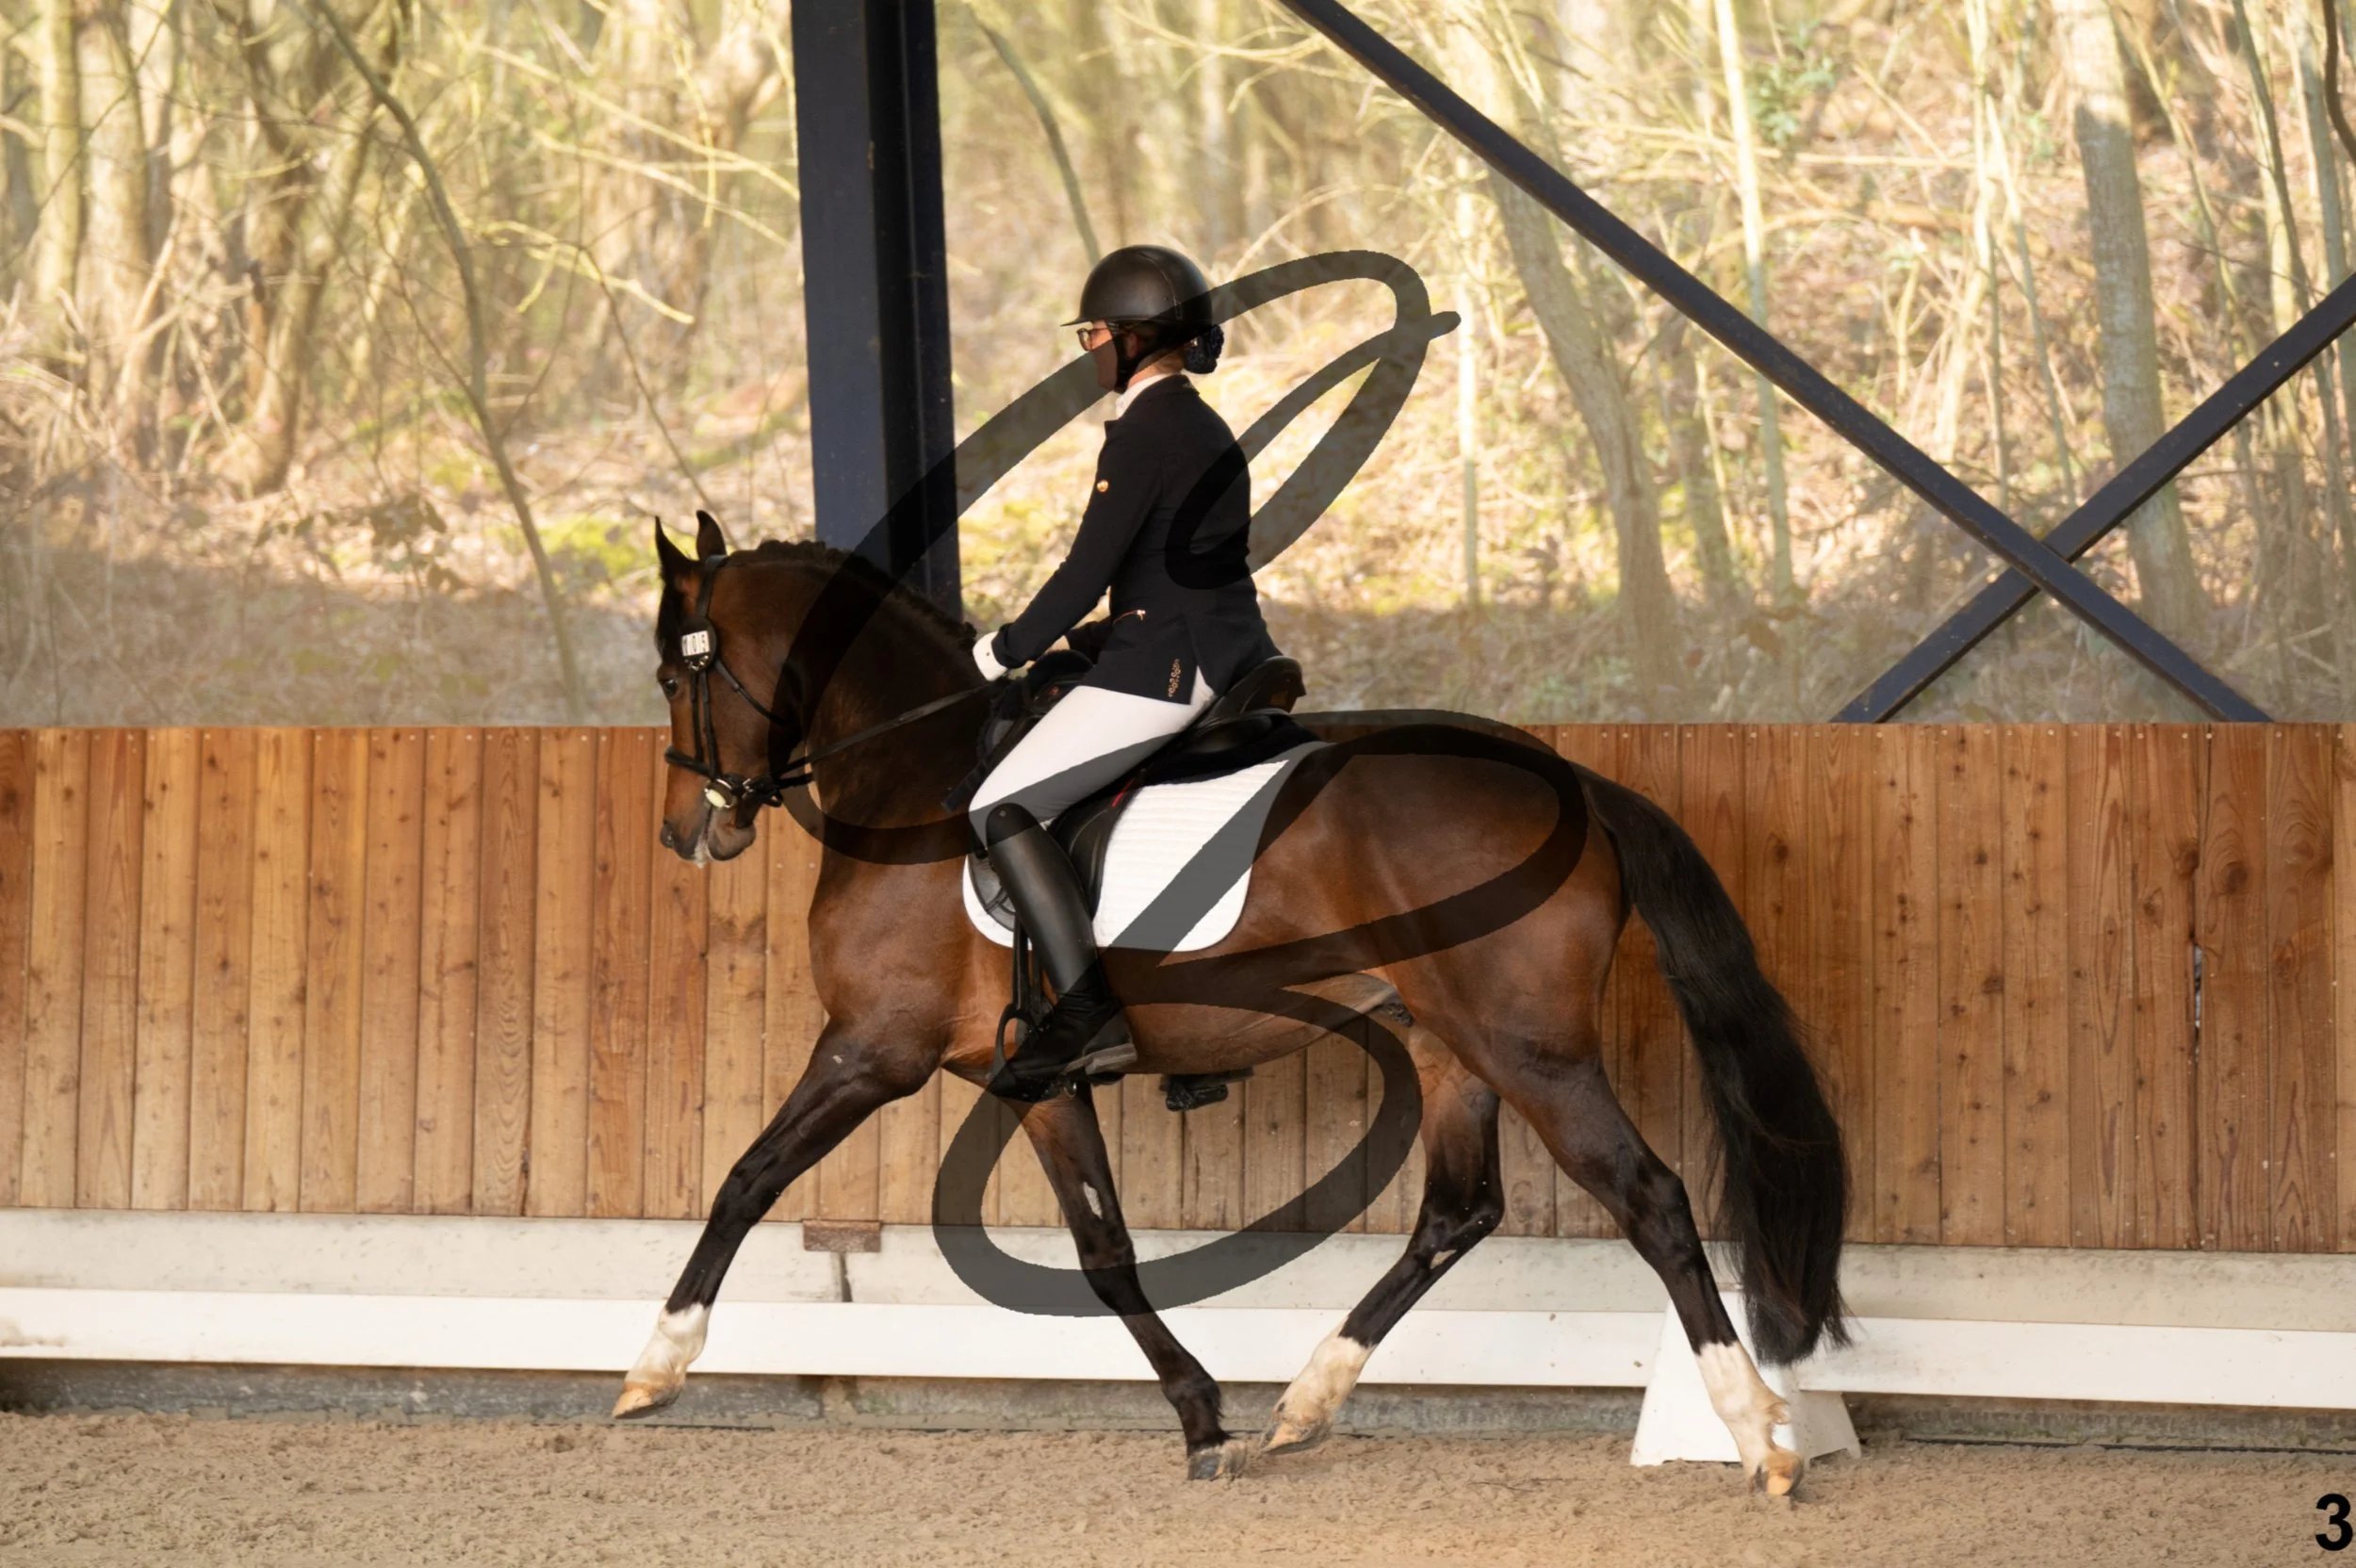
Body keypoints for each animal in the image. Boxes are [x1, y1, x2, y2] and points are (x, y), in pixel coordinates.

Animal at [615, 513, 1849, 1493]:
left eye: (676, 676)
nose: (685, 832)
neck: (914, 774)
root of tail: (1571, 783)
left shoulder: (874, 1048)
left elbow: (746, 1177)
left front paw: (656, 1364)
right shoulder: (1035, 1080)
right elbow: (1104, 1252)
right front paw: (1204, 1420)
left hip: (1529, 1050)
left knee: (1649, 1197)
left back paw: (1757, 1433)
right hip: (1450, 1043)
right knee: (1457, 1211)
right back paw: (1305, 1401)